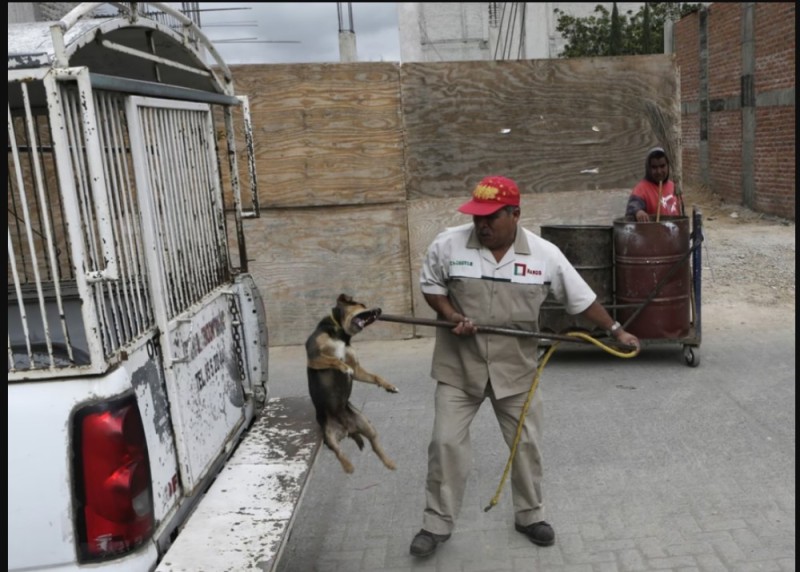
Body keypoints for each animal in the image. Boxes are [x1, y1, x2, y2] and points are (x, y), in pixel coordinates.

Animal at [304, 294, 398, 474]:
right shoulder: (314, 357)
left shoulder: (357, 369)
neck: (341, 334)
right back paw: (348, 466)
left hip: (367, 425)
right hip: (328, 434)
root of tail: (347, 430)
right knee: (338, 452)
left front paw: (389, 386)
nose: (379, 310)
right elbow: (334, 360)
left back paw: (389, 463)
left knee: (375, 446)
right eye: (361, 305)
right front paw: (343, 367)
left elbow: (375, 376)